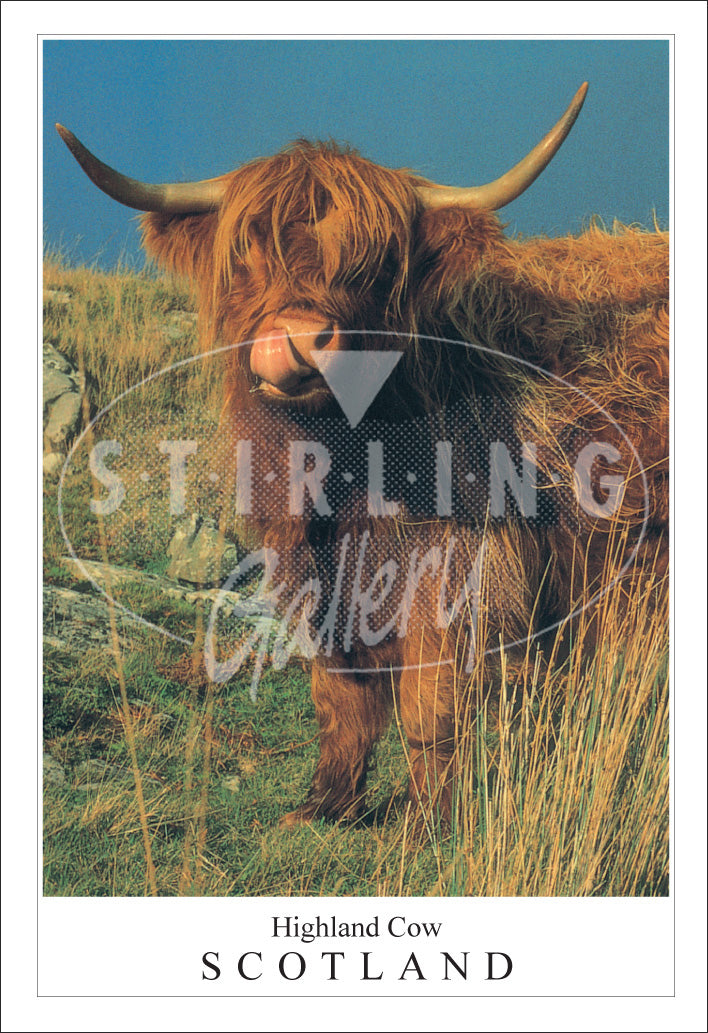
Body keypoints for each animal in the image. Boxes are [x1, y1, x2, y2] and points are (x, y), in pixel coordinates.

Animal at [56, 83, 669, 828]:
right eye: (246, 251)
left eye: (374, 265)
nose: (293, 339)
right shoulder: (327, 575)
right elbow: (338, 696)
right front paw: (323, 804)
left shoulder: (461, 572)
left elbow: (430, 703)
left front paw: (427, 820)